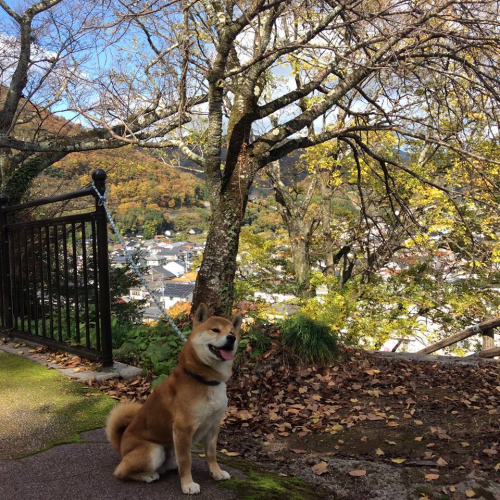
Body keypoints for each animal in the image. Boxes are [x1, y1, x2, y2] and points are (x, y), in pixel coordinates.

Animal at [106, 302, 243, 494]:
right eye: (215, 330)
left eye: (232, 331)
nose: (231, 338)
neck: (204, 379)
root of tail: (121, 446)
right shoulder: (183, 428)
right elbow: (187, 461)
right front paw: (188, 485)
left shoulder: (213, 426)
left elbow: (211, 455)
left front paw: (216, 473)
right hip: (154, 450)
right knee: (121, 471)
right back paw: (147, 476)